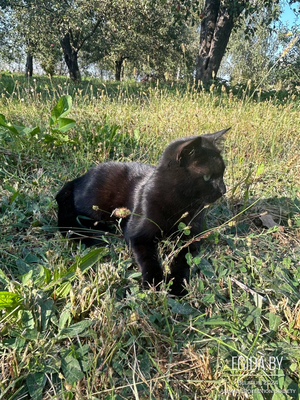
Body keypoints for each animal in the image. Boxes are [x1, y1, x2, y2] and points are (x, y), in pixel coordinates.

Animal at [55, 127, 230, 294]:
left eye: (222, 173)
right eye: (207, 177)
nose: (224, 190)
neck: (180, 204)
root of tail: (78, 178)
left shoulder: (191, 238)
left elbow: (182, 260)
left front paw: (177, 285)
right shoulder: (138, 236)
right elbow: (148, 258)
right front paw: (154, 282)